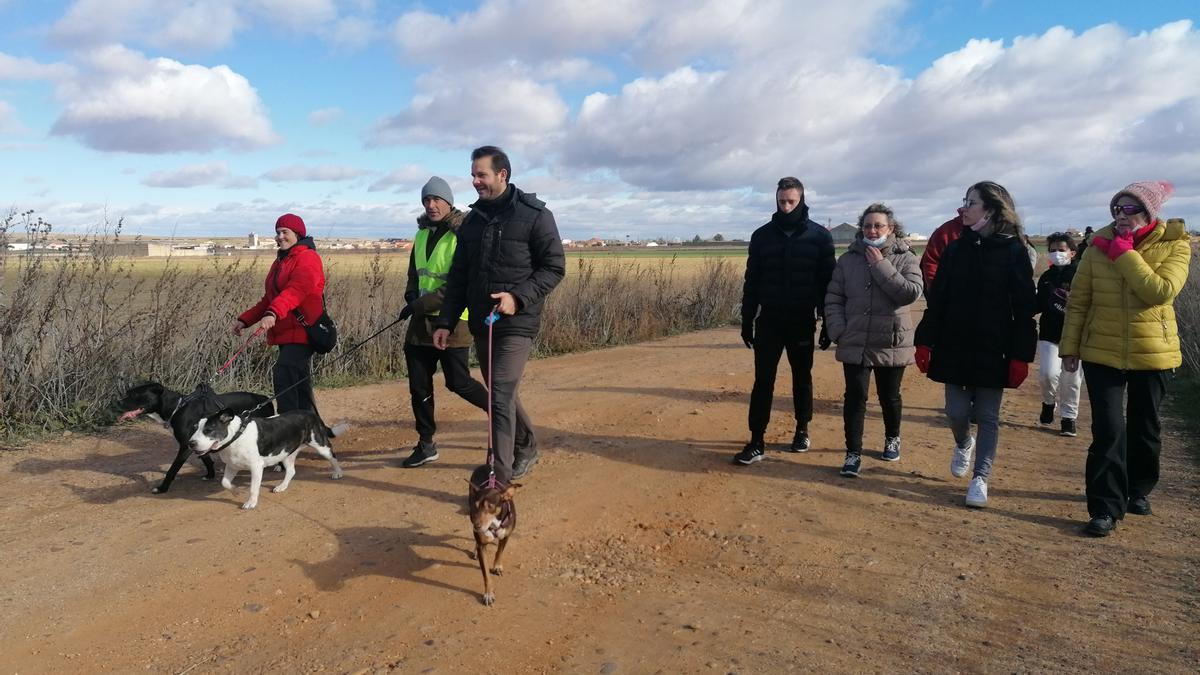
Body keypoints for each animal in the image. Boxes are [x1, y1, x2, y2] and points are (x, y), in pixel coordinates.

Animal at [114, 381, 274, 492]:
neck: (177, 408)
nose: (117, 402)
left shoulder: (186, 446)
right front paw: (210, 474)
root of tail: (265, 397)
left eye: (133, 395)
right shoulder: (197, 442)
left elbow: (172, 469)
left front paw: (162, 488)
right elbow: (206, 459)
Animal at [188, 408, 348, 506]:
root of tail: (311, 413)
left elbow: (253, 488)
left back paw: (338, 473)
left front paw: (251, 503)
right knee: (291, 471)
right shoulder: (232, 465)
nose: (191, 443)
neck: (236, 436)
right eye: (194, 429)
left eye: (208, 430)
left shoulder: (256, 467)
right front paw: (236, 491)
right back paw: (282, 486)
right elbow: (224, 483)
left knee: (332, 456)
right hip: (286, 453)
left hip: (320, 445)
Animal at [465, 461, 518, 605]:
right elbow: (486, 575)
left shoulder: (506, 535)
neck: (493, 524)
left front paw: (497, 566)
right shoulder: (482, 544)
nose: (476, 526)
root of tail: (488, 464)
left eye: (490, 506)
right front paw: (488, 594)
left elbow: (499, 552)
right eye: (476, 506)